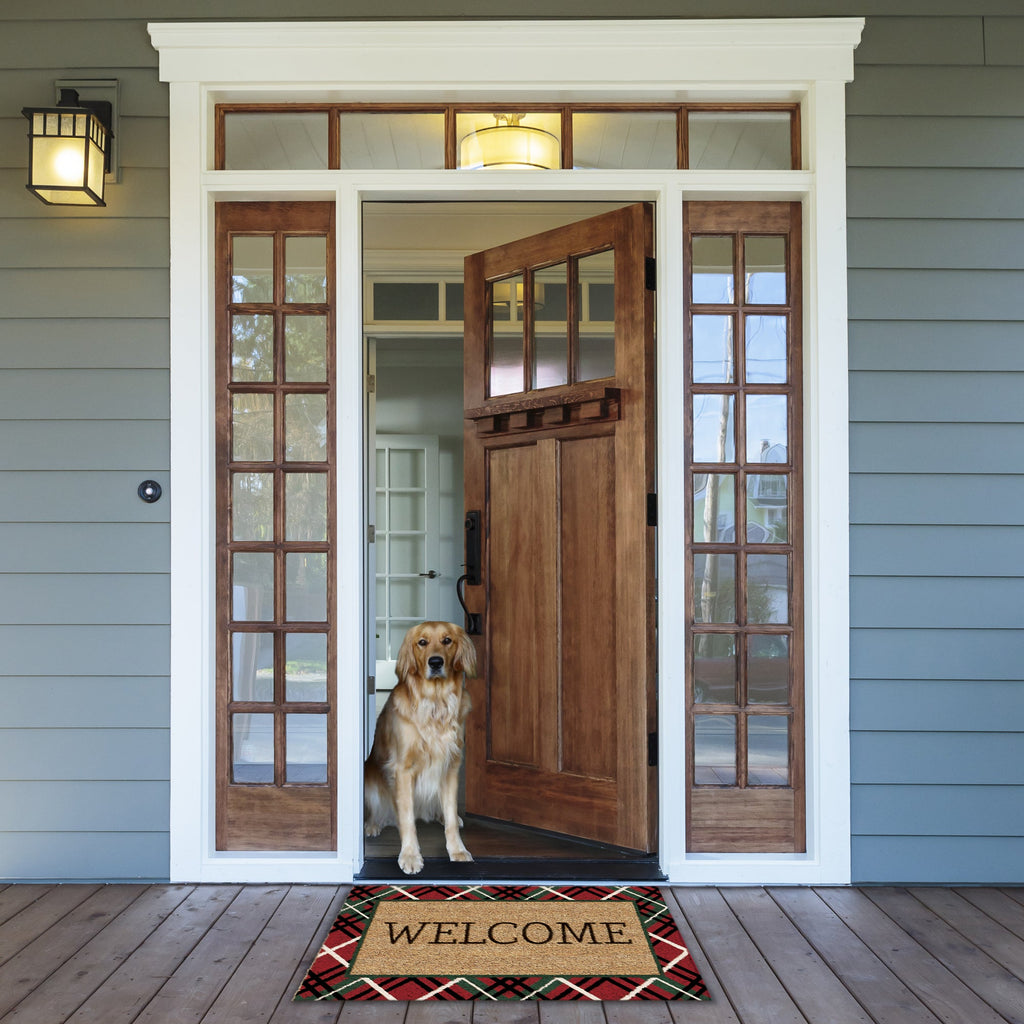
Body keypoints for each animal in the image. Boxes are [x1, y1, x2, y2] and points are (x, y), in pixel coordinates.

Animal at [366, 618, 477, 876]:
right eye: (422, 642)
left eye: (447, 640)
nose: (435, 662)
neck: (436, 703)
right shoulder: (403, 770)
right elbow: (406, 819)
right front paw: (410, 855)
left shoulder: (451, 766)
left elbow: (450, 813)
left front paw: (457, 850)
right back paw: (372, 825)